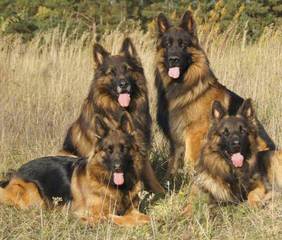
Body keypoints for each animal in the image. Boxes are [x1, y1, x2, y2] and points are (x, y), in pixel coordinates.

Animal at [0, 113, 150, 226]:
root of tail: (14, 173)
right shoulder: (93, 213)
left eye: (124, 148)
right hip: (34, 195)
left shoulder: (132, 209)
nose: (117, 167)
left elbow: (145, 216)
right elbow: (120, 218)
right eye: (109, 150)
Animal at [60, 37, 164, 192]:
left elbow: (151, 176)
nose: (123, 84)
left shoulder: (141, 145)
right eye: (112, 72)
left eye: (127, 69)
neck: (121, 110)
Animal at [155, 10, 274, 176]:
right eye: (167, 44)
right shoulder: (175, 139)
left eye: (183, 44)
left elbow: (189, 164)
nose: (174, 59)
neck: (183, 87)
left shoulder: (194, 136)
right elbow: (172, 165)